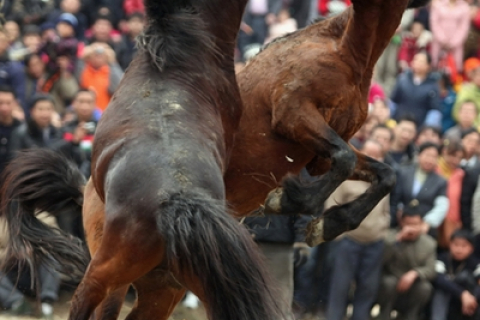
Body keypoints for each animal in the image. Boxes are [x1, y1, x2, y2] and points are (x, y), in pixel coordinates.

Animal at [225, 0, 432, 248]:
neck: (347, 53)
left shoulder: (323, 157)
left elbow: (386, 175)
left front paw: (330, 224)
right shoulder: (292, 112)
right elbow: (345, 158)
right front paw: (290, 200)